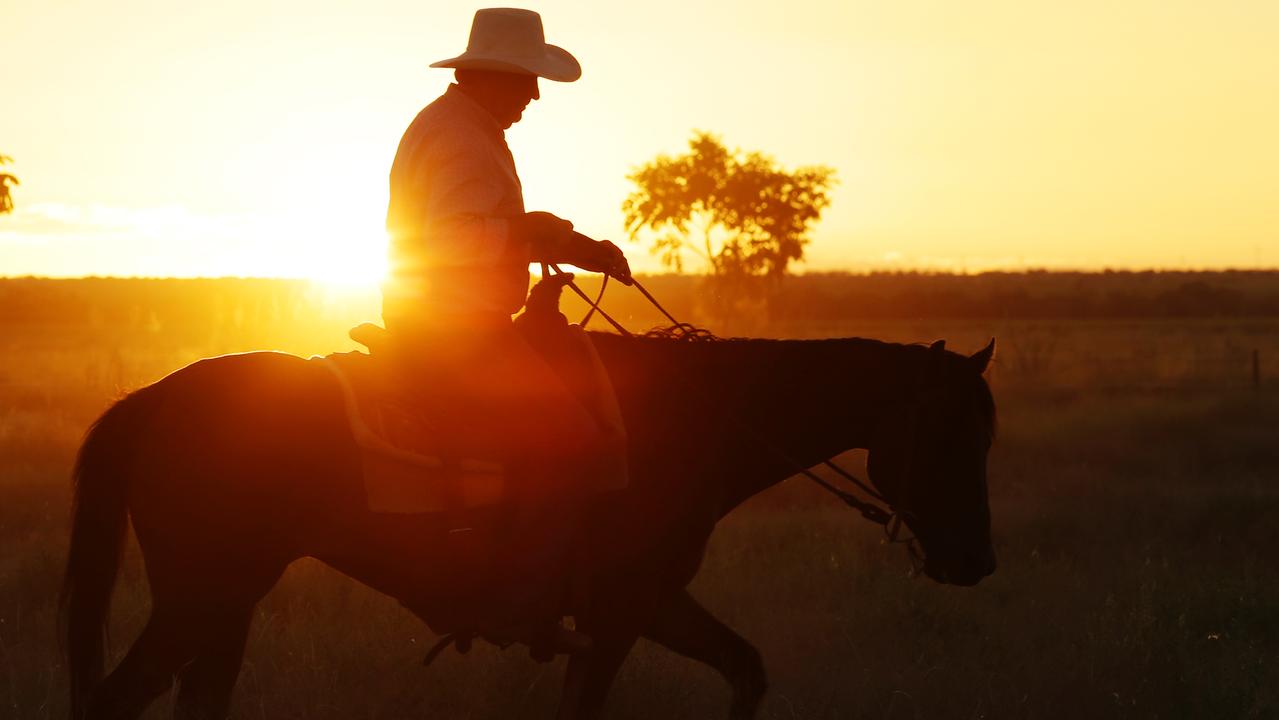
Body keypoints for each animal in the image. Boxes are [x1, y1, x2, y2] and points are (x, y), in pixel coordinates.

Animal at [60, 318, 997, 716]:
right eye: (951, 435)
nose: (975, 563)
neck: (695, 420)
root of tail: (153, 399)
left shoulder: (656, 602)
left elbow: (746, 668)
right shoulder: (618, 613)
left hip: (228, 603)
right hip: (200, 597)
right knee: (113, 700)